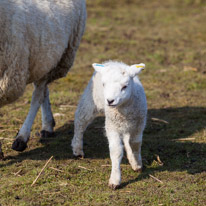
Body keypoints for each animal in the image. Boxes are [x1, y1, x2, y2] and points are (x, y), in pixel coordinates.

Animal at [0, 0, 86, 153]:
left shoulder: (9, 76)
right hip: (42, 60)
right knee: (43, 91)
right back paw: (48, 126)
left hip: (57, 54)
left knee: (37, 96)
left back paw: (22, 137)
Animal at [71, 60, 147, 189]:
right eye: (104, 84)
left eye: (125, 86)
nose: (110, 101)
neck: (123, 110)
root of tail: (112, 62)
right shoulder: (112, 127)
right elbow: (116, 150)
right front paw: (115, 180)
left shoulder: (139, 125)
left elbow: (135, 144)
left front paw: (136, 163)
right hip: (91, 101)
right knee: (80, 121)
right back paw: (77, 149)